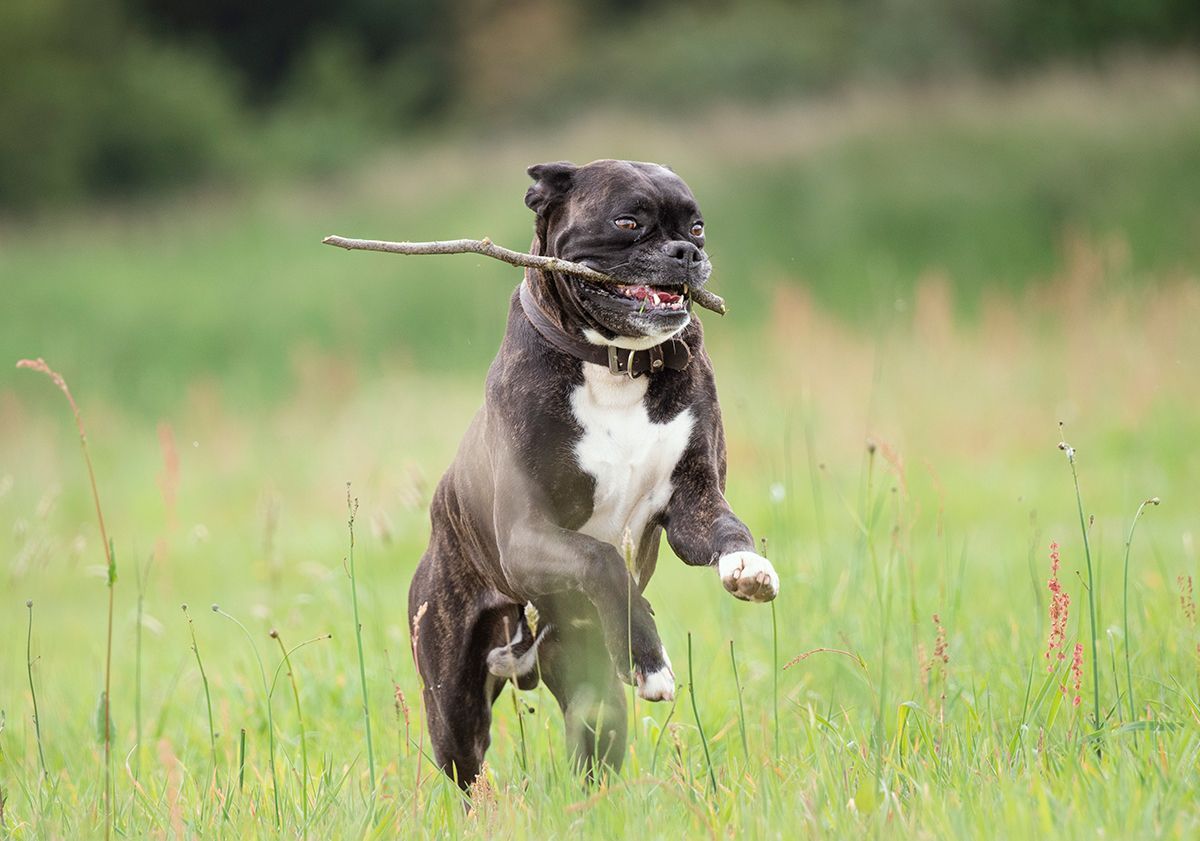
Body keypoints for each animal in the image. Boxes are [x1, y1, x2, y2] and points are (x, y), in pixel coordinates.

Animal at [405, 157, 777, 787]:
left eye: (697, 226)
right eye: (627, 222)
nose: (685, 252)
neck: (615, 361)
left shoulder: (694, 504)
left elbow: (729, 530)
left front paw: (747, 567)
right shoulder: (526, 535)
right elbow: (601, 559)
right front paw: (651, 658)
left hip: (594, 698)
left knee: (591, 752)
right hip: (453, 706)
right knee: (468, 770)